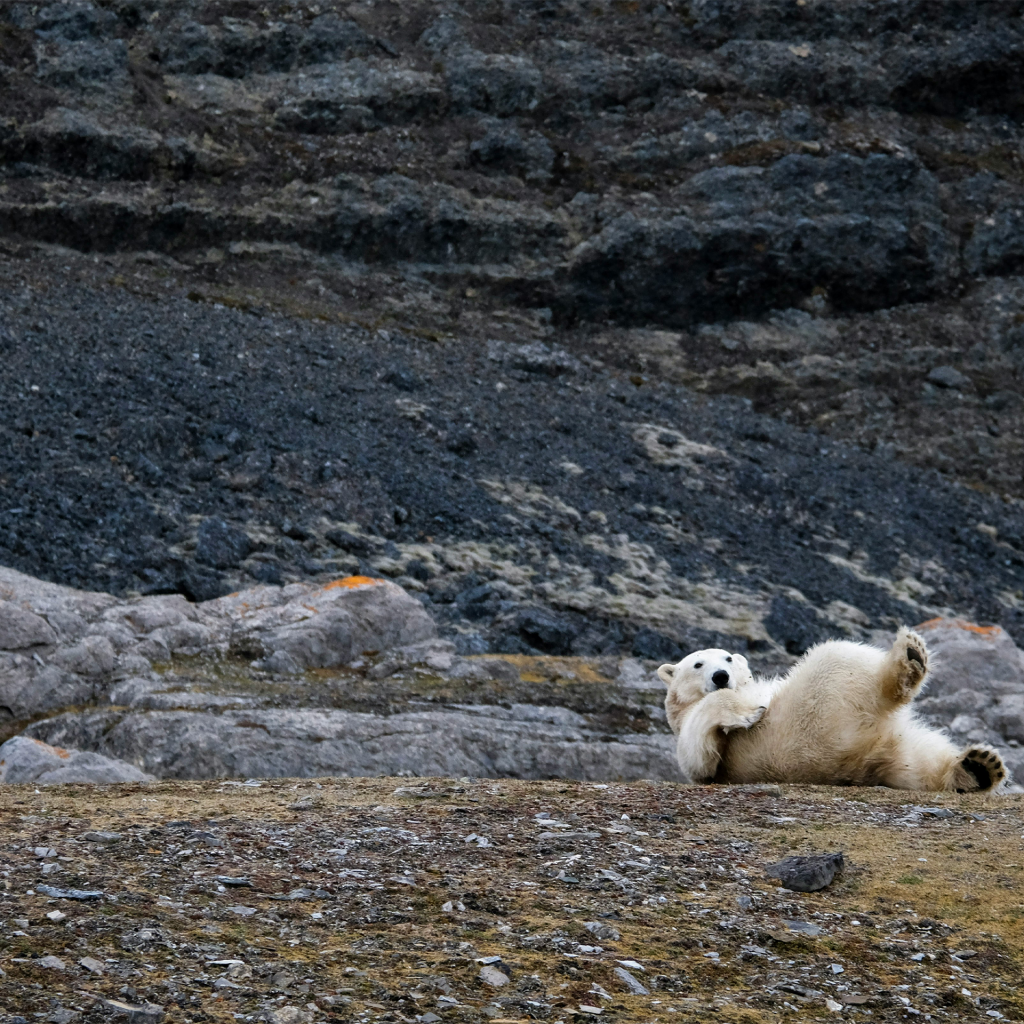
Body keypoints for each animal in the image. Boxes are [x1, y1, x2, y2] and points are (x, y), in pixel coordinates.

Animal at [663, 626, 1007, 794]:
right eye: (697, 664)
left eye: (728, 658)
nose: (720, 676)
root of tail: (854, 762)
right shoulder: (700, 743)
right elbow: (700, 754)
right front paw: (747, 712)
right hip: (811, 719)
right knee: (838, 656)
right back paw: (909, 658)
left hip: (888, 748)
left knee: (920, 762)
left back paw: (978, 768)